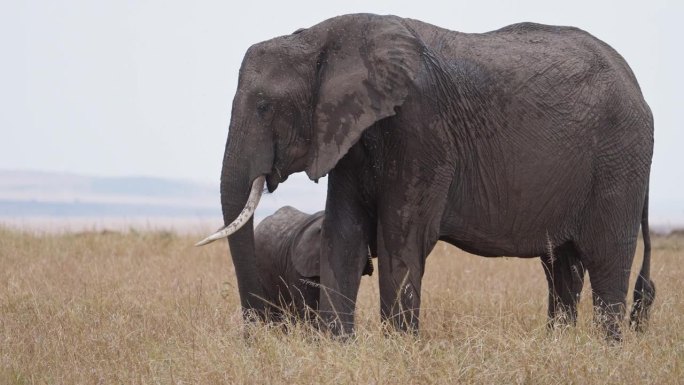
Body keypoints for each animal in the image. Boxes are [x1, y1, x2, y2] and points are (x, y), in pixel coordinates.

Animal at [196, 14, 652, 340]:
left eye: (263, 107)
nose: (256, 337)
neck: (321, 38)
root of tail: (636, 85)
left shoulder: (420, 126)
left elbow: (400, 239)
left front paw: (397, 350)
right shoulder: (350, 135)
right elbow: (343, 235)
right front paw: (338, 348)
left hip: (619, 160)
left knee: (606, 260)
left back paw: (606, 350)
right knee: (561, 266)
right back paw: (559, 345)